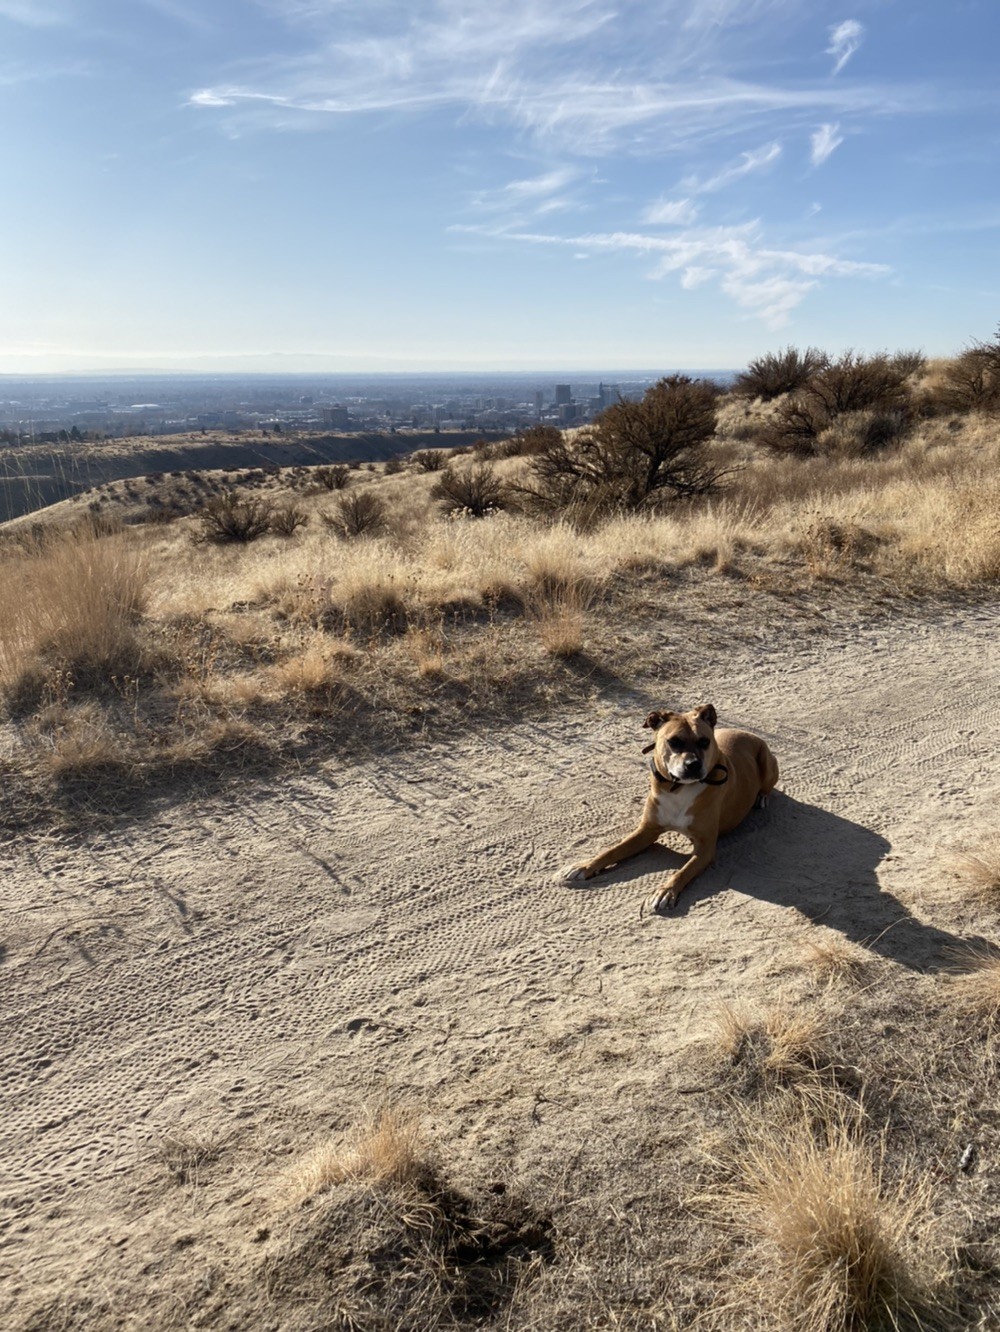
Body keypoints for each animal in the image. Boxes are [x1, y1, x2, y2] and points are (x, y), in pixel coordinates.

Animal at [567, 708, 777, 916]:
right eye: (674, 741)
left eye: (704, 741)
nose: (693, 764)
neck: (677, 788)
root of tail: (748, 733)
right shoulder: (646, 831)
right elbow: (612, 850)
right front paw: (586, 866)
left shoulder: (705, 848)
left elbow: (683, 871)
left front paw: (665, 892)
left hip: (767, 763)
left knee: (767, 786)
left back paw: (762, 797)